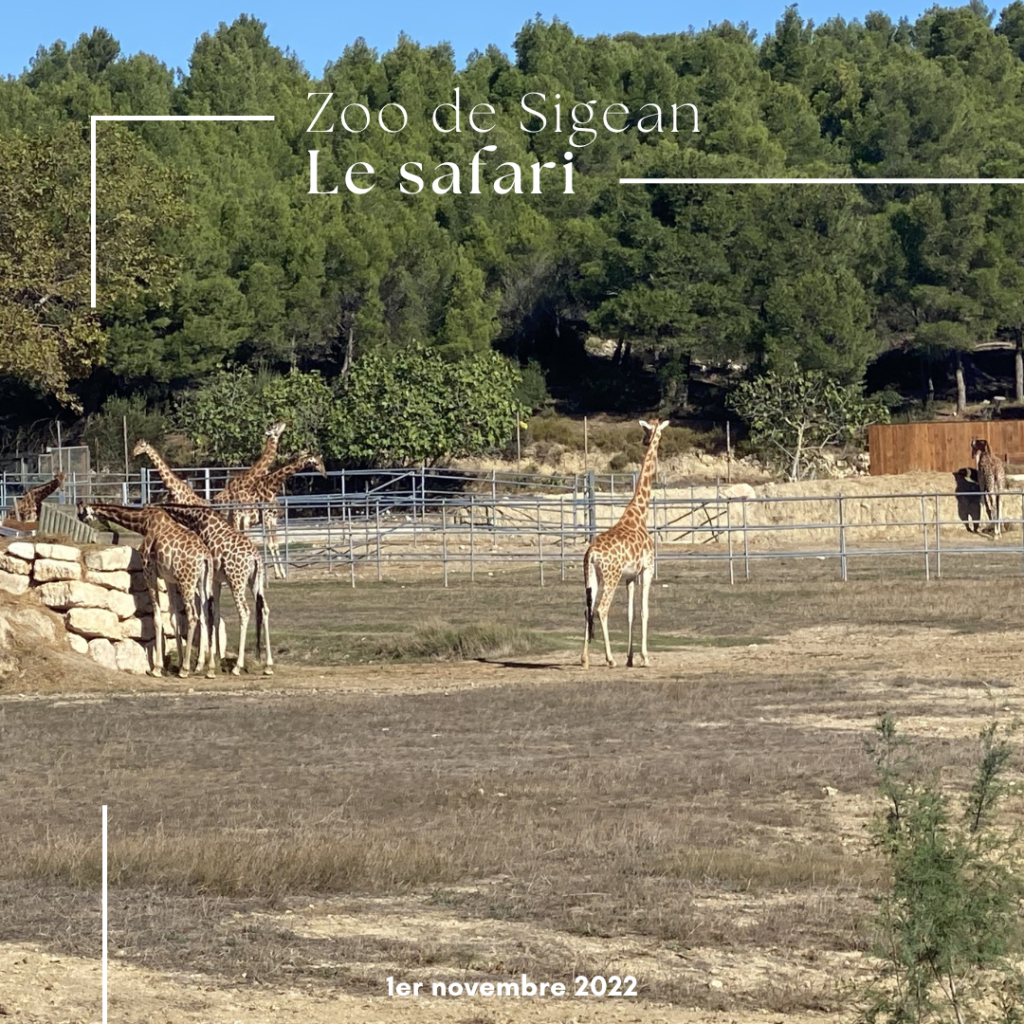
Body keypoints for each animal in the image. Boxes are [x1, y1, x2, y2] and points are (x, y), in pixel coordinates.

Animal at [76, 499, 215, 675]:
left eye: (82, 511)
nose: (80, 519)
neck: (143, 523)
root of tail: (205, 557)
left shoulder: (148, 569)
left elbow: (157, 617)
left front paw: (157, 668)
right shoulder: (169, 578)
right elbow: (174, 619)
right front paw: (177, 661)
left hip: (186, 582)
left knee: (193, 616)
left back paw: (185, 670)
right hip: (202, 583)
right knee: (206, 617)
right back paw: (206, 667)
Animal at [159, 501, 272, 675]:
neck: (197, 521)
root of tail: (255, 558)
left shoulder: (209, 579)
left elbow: (205, 614)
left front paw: (202, 662)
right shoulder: (217, 580)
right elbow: (216, 616)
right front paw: (219, 657)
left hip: (236, 581)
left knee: (244, 612)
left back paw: (237, 666)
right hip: (255, 582)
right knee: (264, 609)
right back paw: (268, 665)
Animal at [585, 417, 671, 671]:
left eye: (646, 430)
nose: (645, 441)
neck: (639, 514)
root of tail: (591, 552)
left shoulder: (630, 576)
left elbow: (630, 613)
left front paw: (630, 658)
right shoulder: (647, 569)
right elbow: (644, 611)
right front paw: (645, 657)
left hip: (592, 576)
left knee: (588, 608)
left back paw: (584, 659)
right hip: (610, 576)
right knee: (601, 609)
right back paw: (609, 659)